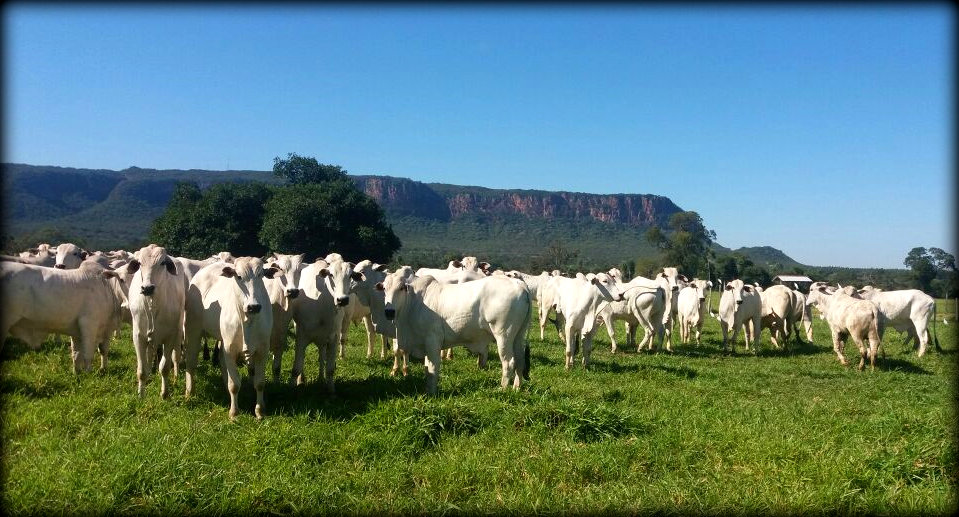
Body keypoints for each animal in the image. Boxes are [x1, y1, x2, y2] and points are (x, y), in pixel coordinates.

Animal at [126, 244, 187, 398]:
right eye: (140, 263)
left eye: (163, 263)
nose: (147, 288)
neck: (153, 304)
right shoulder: (138, 336)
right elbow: (141, 370)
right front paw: (141, 394)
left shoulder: (170, 337)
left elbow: (164, 367)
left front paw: (164, 393)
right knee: (150, 355)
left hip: (178, 333)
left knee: (176, 356)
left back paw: (175, 376)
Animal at [184, 258, 276, 420]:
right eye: (238, 276)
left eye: (261, 275)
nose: (253, 306)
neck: (248, 320)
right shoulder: (230, 350)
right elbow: (234, 385)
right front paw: (234, 413)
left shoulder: (262, 350)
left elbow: (259, 383)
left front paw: (260, 411)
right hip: (193, 330)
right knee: (191, 362)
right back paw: (190, 392)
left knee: (221, 361)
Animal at [380, 272, 532, 394]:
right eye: (384, 288)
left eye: (401, 288)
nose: (389, 312)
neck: (412, 303)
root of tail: (520, 285)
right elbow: (426, 368)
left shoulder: (432, 340)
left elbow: (432, 368)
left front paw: (431, 393)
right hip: (518, 336)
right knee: (520, 361)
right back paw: (516, 388)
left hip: (503, 335)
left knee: (508, 362)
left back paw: (503, 389)